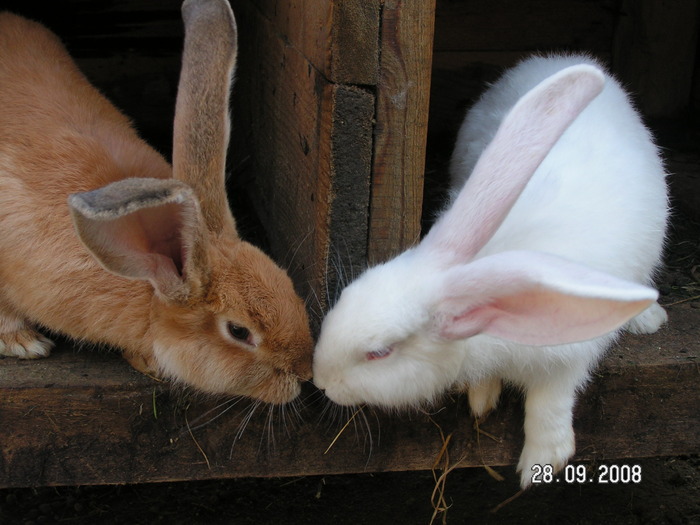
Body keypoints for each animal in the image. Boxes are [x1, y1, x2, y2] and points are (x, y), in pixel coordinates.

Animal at [314, 54, 668, 488]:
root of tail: (562, 58)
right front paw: (482, 398)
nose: (319, 380)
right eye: (346, 295)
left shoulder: (569, 352)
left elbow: (551, 398)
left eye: (379, 353)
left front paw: (542, 461)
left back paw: (647, 316)